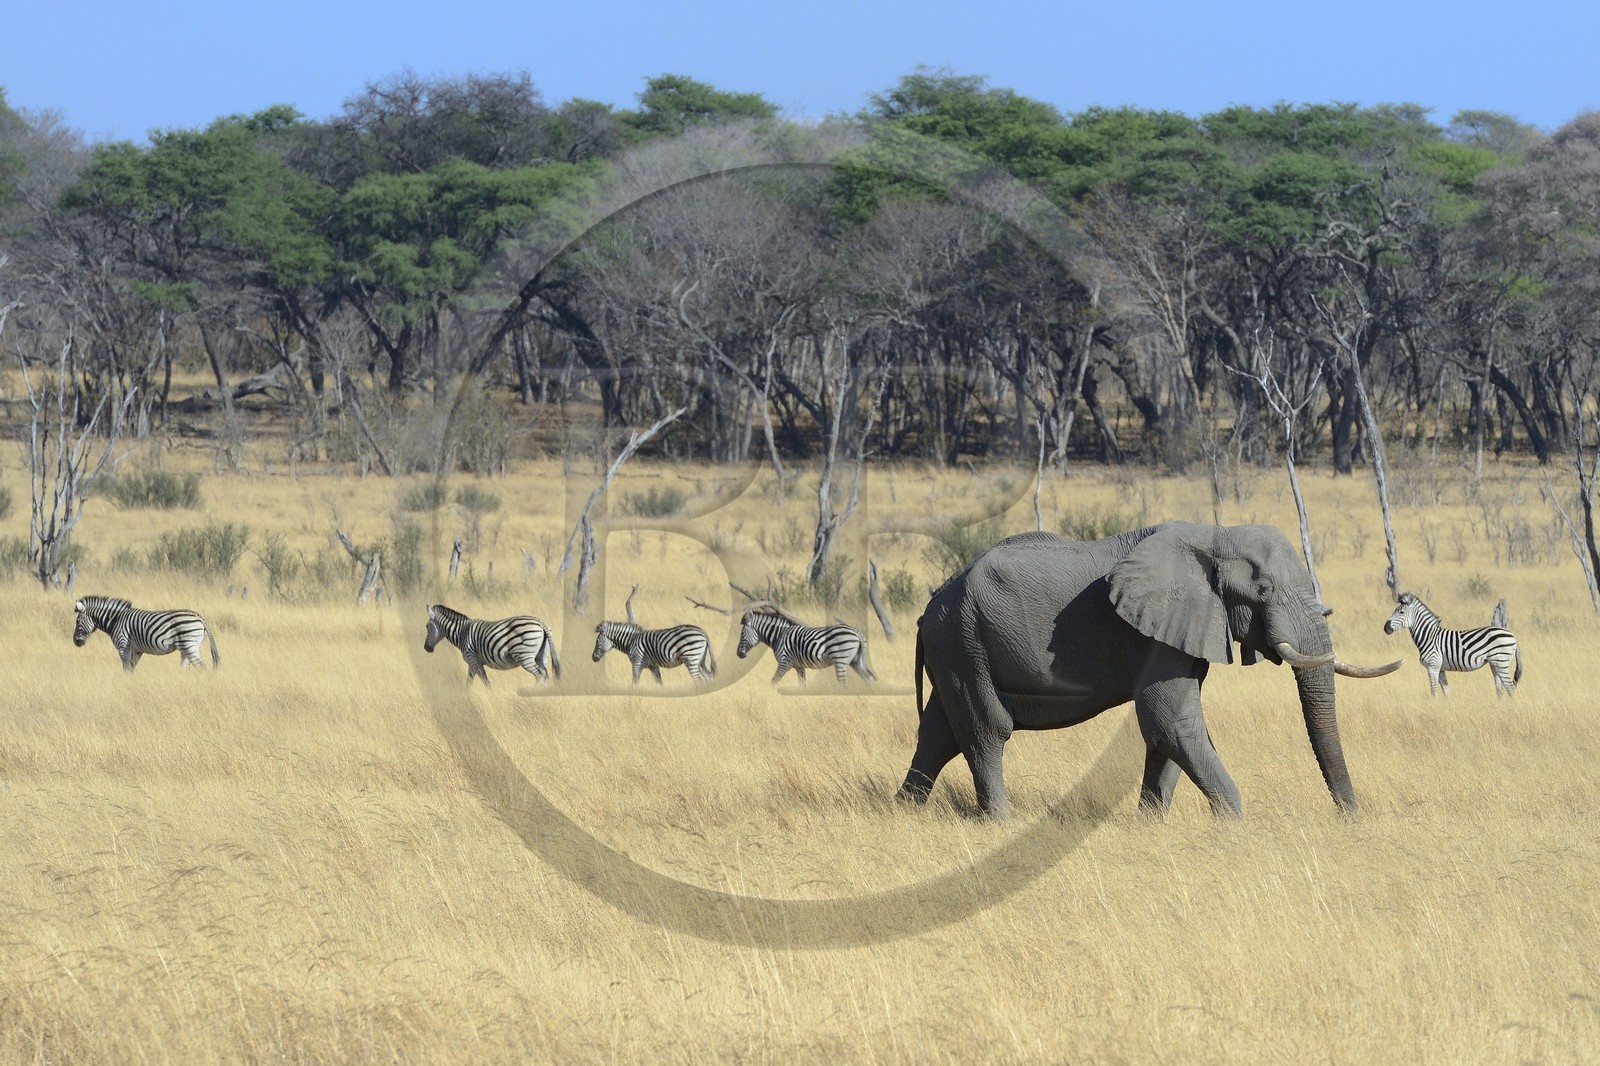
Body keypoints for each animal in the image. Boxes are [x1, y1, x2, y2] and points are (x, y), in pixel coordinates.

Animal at [896, 522, 1400, 820]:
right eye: (1263, 590)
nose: (1350, 821)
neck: (1213, 535)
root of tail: (929, 606)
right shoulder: (1150, 629)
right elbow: (1169, 718)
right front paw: (1233, 824)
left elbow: (1168, 729)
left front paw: (1151, 823)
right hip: (964, 641)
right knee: (986, 729)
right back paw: (1000, 822)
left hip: (955, 647)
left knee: (939, 732)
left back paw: (905, 810)